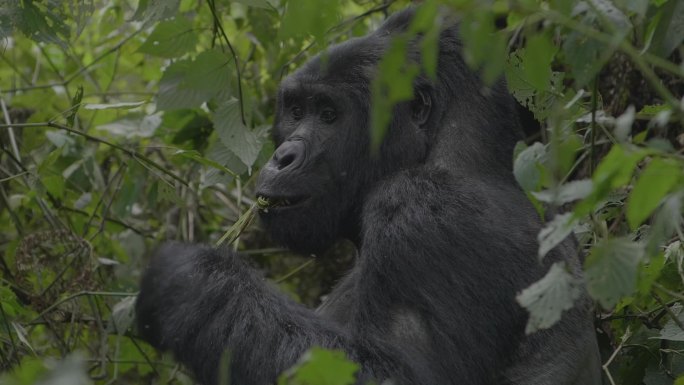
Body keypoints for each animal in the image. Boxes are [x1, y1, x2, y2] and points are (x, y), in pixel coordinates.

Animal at [136, 8, 600, 384]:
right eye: (296, 110)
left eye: (328, 114)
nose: (282, 157)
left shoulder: (425, 212)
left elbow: (397, 374)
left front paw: (192, 281)